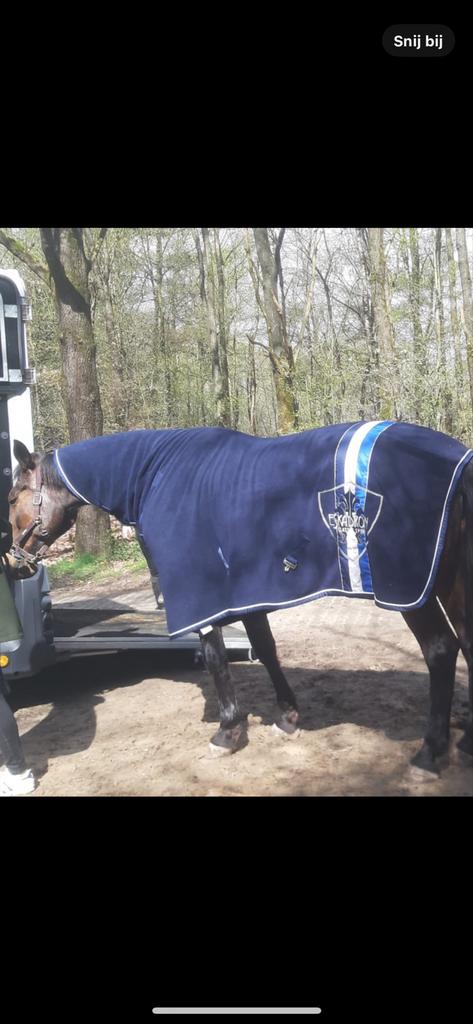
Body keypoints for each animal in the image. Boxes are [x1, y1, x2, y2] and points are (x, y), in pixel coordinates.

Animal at [7, 419, 473, 779]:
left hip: (411, 592)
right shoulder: (244, 592)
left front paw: (228, 732)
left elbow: (216, 659)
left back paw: (430, 753)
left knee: (441, 650)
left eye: (12, 497)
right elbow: (265, 648)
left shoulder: (203, 595)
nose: (13, 559)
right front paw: (287, 717)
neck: (156, 475)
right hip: (448, 585)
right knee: (466, 642)